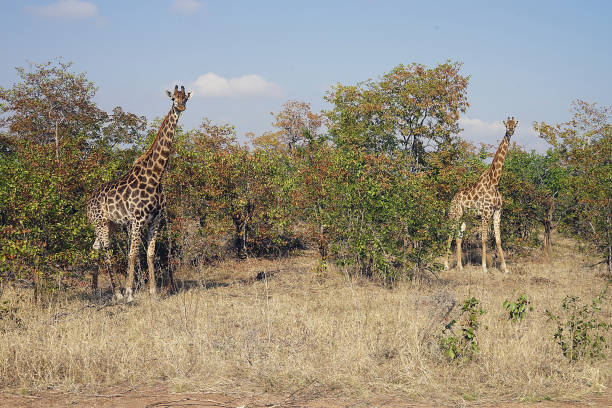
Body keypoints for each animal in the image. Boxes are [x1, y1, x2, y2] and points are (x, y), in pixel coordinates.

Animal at [86, 84, 191, 302]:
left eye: (186, 97)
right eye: (173, 98)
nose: (180, 106)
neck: (156, 175)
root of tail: (86, 202)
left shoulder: (156, 220)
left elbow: (149, 254)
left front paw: (153, 292)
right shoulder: (136, 220)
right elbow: (133, 254)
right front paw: (129, 293)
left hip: (110, 224)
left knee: (96, 247)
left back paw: (95, 289)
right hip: (100, 222)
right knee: (106, 249)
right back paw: (117, 292)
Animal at [442, 116, 520, 272]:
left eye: (514, 125)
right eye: (506, 125)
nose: (510, 131)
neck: (495, 183)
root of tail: (453, 199)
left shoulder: (497, 212)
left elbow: (498, 239)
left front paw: (505, 268)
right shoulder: (485, 213)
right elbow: (484, 239)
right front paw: (484, 267)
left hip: (464, 217)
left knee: (458, 237)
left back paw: (460, 266)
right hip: (455, 214)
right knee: (449, 235)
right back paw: (446, 265)